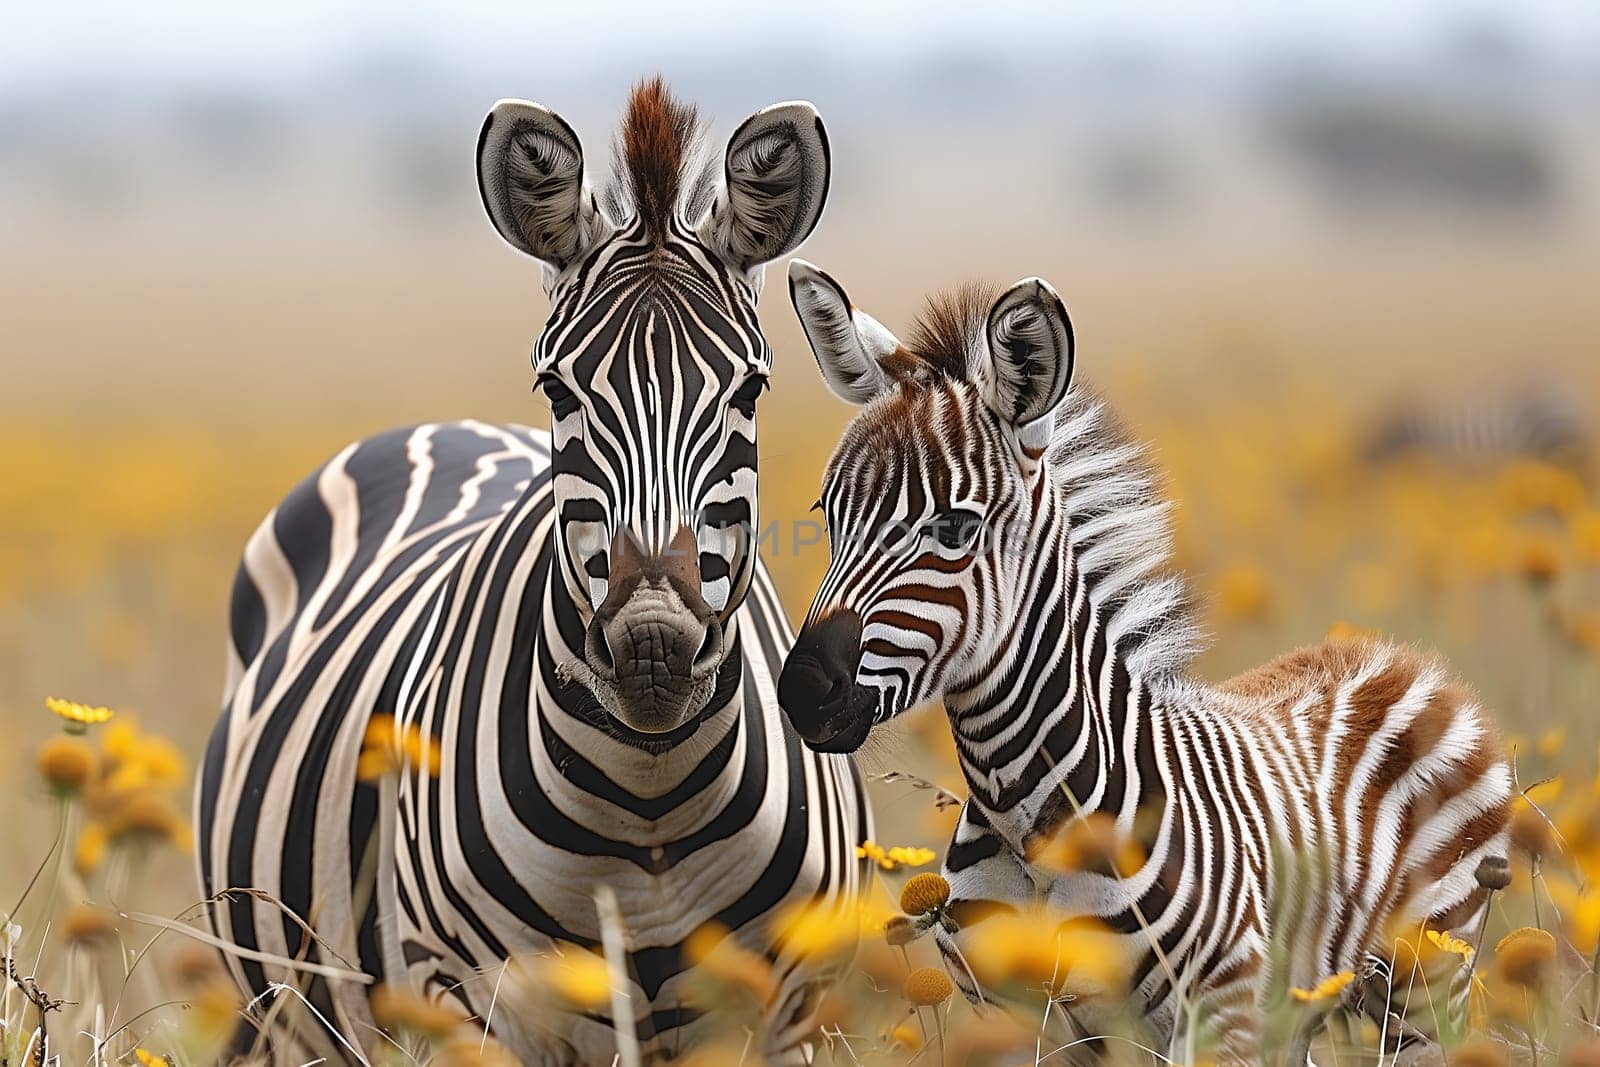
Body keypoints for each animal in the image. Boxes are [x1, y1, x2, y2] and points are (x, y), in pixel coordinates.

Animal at [201, 85, 876, 1067]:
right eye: (559, 390)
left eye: (749, 392)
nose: (653, 647)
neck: (651, 809)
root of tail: (448, 427)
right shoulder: (460, 997)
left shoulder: (788, 1008)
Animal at [774, 262, 1510, 1062]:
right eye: (828, 514)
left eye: (954, 527)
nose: (803, 692)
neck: (1027, 822)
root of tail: (1398, 654)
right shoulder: (1023, 1022)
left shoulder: (1217, 1013)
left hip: (1425, 982)